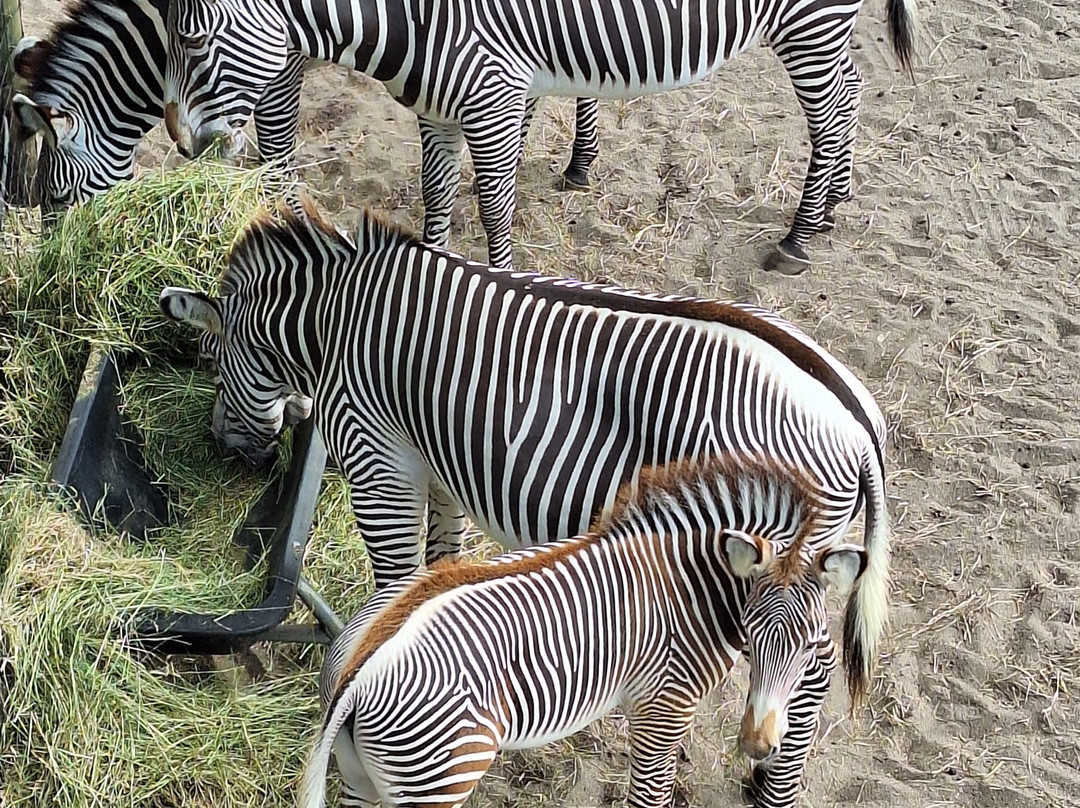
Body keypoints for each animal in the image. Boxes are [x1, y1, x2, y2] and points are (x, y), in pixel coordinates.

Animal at [158, 197, 889, 702]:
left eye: (213, 365)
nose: (227, 455)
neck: (337, 319)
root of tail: (859, 427)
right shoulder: (437, 462)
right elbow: (439, 564)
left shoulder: (377, 456)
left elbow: (395, 579)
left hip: (775, 560)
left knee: (810, 672)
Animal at [161, 0, 916, 271]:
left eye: (192, 41)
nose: (185, 148)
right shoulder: (437, 111)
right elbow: (436, 199)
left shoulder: (493, 102)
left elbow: (495, 212)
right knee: (849, 95)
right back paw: (832, 206)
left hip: (810, 18)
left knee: (832, 108)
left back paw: (798, 237)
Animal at [302, 455, 863, 808]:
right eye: (752, 628)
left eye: (811, 642)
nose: (757, 748)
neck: (695, 581)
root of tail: (355, 677)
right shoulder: (664, 707)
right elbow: (650, 795)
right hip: (440, 777)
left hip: (360, 776)